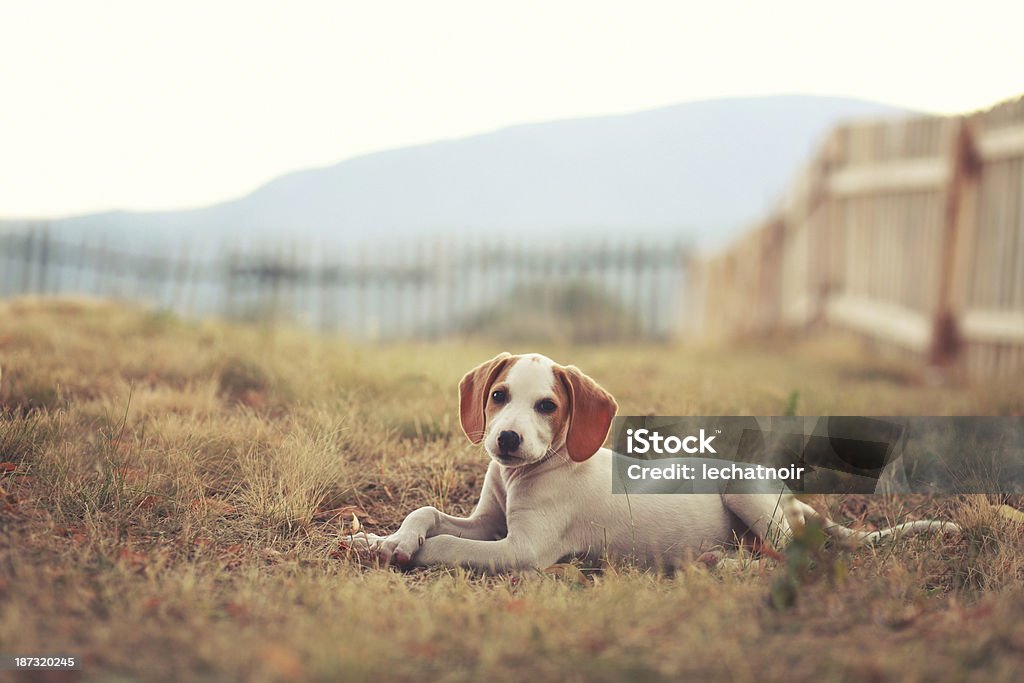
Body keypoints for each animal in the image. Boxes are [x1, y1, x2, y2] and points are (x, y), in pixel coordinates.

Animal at [352, 352, 958, 573]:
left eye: (547, 405)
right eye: (499, 396)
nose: (506, 440)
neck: (525, 473)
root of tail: (797, 503)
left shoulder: (522, 549)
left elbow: (446, 546)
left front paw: (412, 550)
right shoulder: (488, 522)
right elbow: (429, 514)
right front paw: (387, 538)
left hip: (744, 491)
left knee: (791, 555)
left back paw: (725, 563)